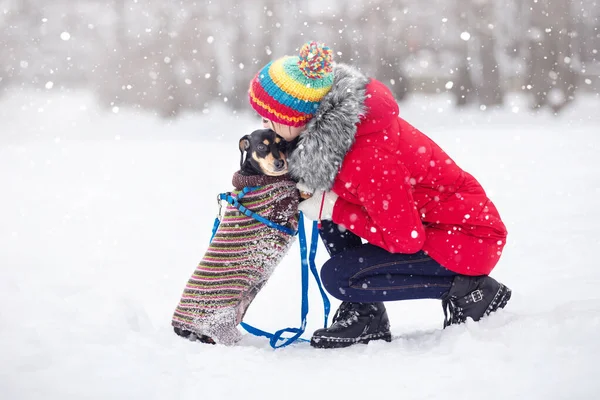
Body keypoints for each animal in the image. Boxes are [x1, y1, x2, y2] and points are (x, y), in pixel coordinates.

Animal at [171, 128, 298, 344]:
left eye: (281, 144)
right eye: (261, 146)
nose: (280, 163)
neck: (256, 178)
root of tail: (179, 328)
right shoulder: (281, 213)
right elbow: (295, 194)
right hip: (221, 325)